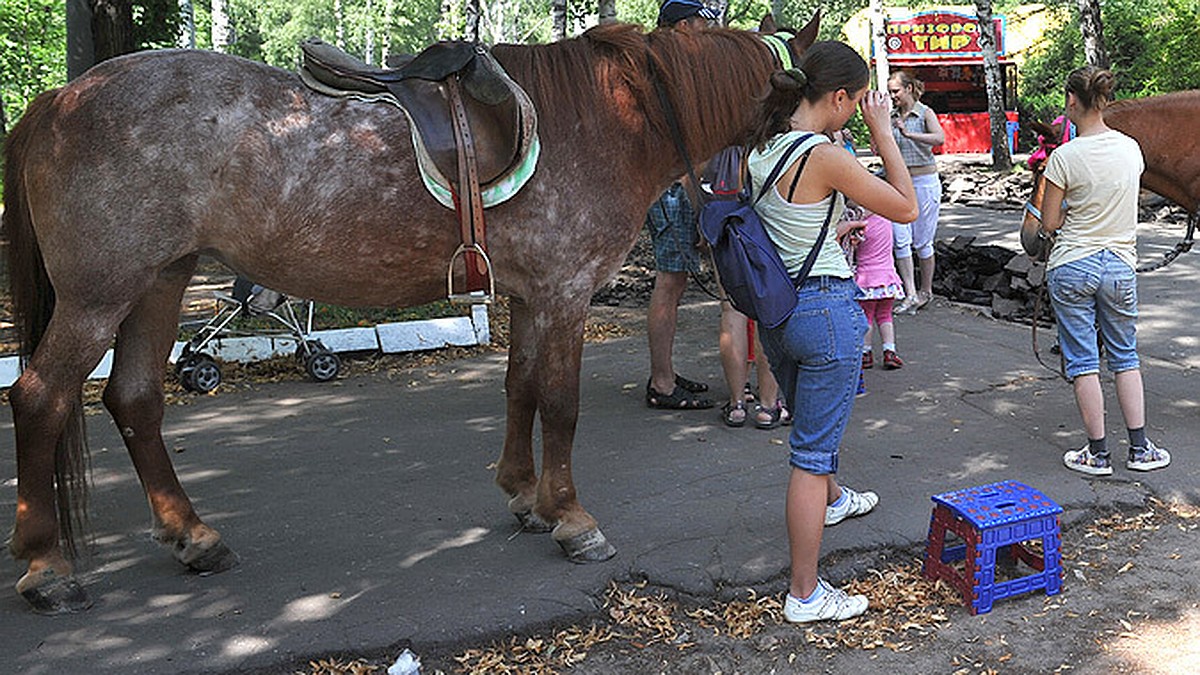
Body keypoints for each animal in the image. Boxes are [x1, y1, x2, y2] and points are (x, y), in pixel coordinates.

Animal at [0, 19, 820, 610]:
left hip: (158, 283)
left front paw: (524, 497)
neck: (606, 119)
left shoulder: (530, 294)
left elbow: (520, 388)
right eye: (798, 96)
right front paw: (572, 519)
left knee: (134, 399)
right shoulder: (564, 292)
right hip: (100, 294)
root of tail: (58, 100)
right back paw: (47, 567)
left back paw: (193, 537)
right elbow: (559, 403)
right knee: (39, 397)